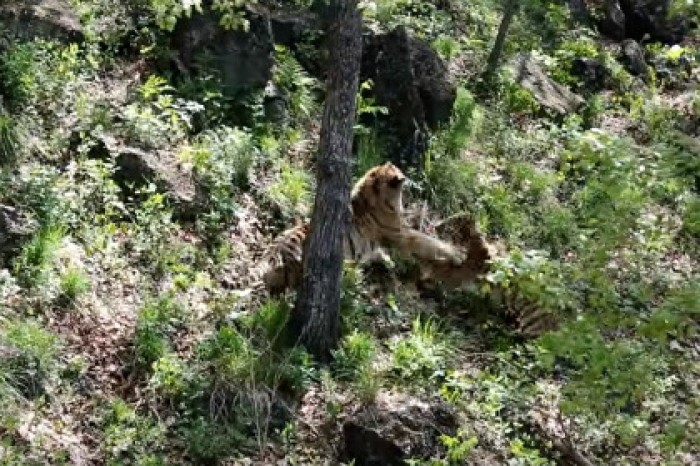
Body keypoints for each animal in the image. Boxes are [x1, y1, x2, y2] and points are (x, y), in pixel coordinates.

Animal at [258, 162, 464, 294]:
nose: (407, 179)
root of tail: (271, 256)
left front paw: (387, 260)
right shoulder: (401, 234)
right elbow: (430, 242)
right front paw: (458, 253)